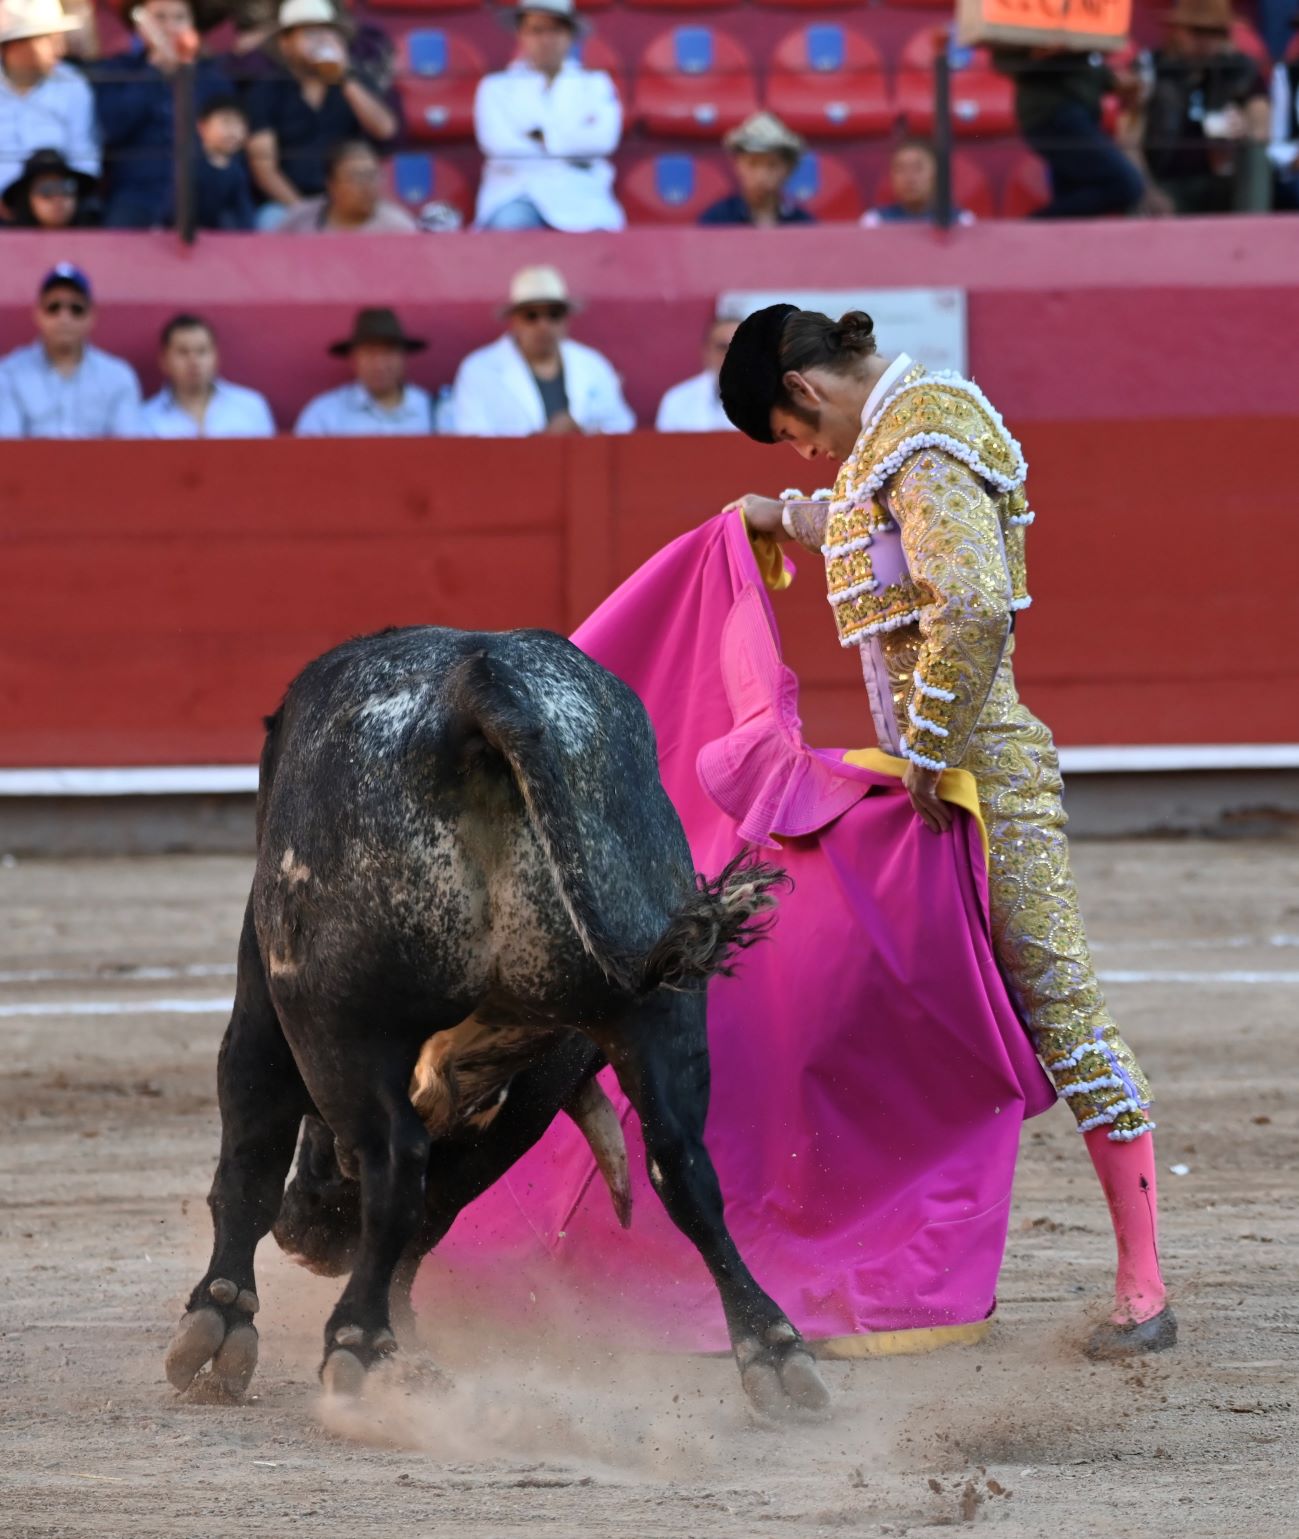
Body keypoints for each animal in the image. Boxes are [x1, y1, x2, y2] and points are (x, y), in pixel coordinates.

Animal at [164, 626, 831, 1418]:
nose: (308, 1239)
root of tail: (482, 686)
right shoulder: (534, 1092)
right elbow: (435, 1212)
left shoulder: (266, 993)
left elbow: (253, 1149)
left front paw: (220, 1321)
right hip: (656, 1003)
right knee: (683, 1164)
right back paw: (775, 1349)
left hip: (338, 1018)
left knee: (393, 1161)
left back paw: (356, 1339)